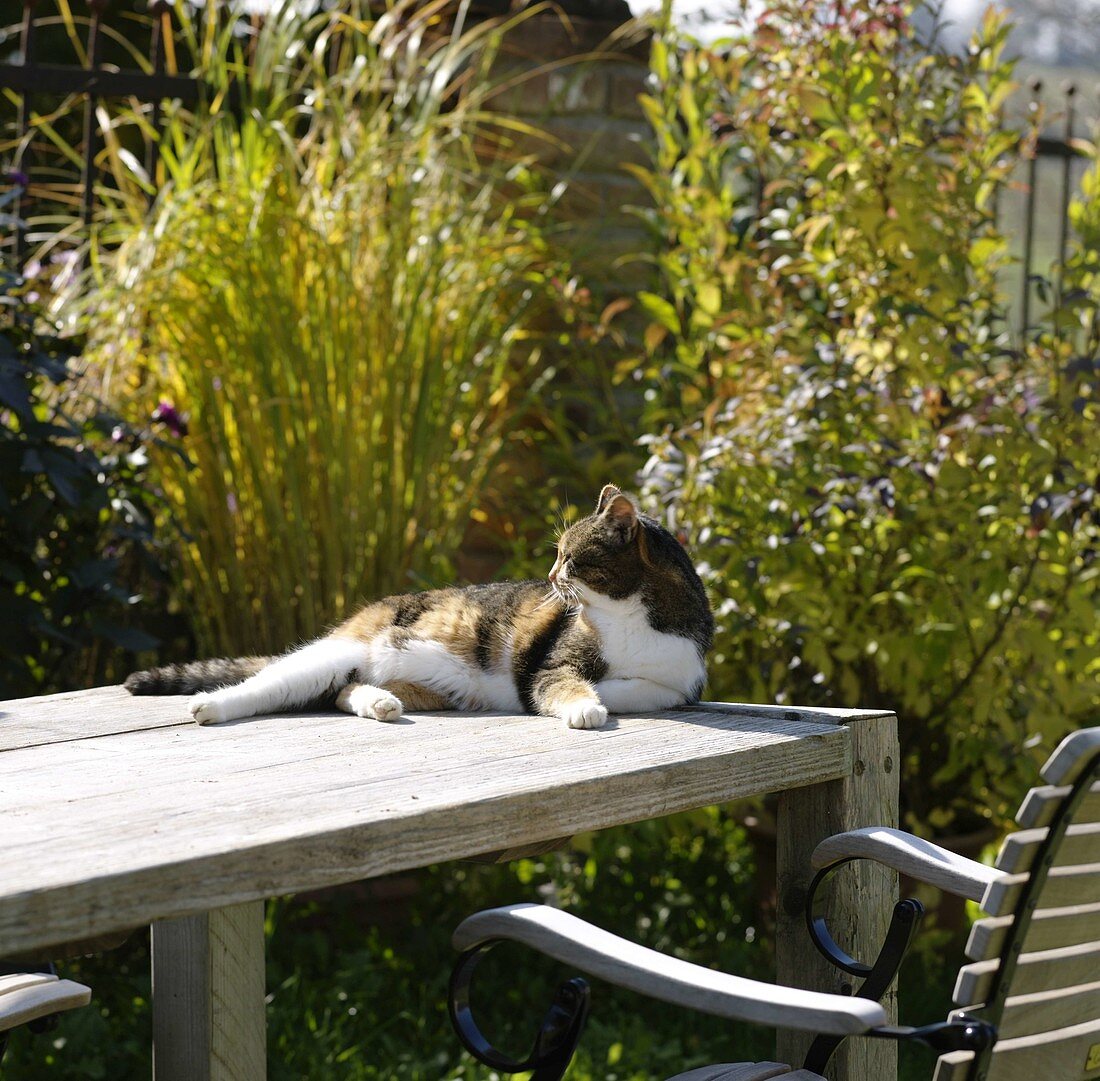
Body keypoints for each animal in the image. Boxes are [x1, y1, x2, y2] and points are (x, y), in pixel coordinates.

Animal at [126, 486, 712, 730]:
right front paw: (586, 707)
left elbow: (648, 691)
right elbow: (562, 683)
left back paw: (380, 703)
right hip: (336, 653)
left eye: (570, 560)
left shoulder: (681, 684)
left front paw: (609, 694)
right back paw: (209, 705)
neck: (630, 619)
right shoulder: (548, 666)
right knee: (268, 684)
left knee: (342, 692)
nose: (549, 579)